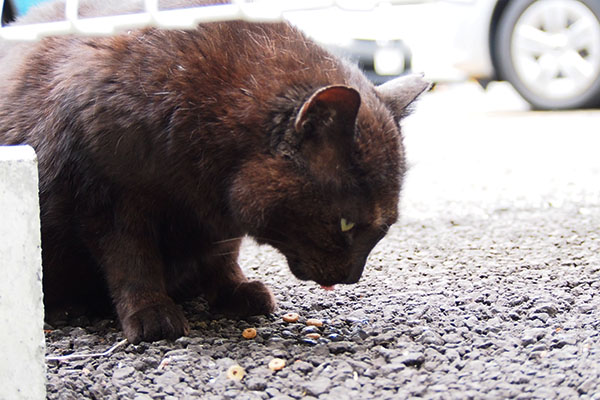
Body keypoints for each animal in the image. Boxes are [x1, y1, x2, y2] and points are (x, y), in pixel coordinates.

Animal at [2, 0, 428, 344]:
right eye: (346, 223)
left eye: (385, 227)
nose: (353, 276)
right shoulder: (107, 198)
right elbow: (132, 260)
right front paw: (151, 312)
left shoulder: (217, 214)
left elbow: (222, 254)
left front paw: (232, 292)